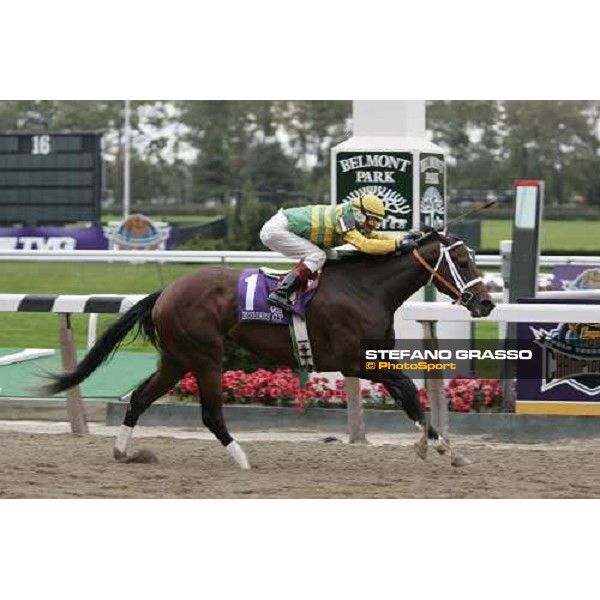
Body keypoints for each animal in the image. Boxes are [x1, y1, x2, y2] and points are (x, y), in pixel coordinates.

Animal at [39, 230, 494, 468]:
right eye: (464, 262)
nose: (487, 303)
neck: (366, 289)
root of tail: (166, 292)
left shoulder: (373, 359)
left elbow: (409, 397)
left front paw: (439, 446)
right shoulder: (354, 362)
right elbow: (411, 393)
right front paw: (440, 447)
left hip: (176, 358)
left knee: (139, 398)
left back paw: (122, 451)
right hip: (205, 356)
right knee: (210, 414)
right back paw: (242, 459)